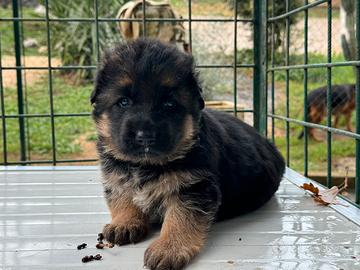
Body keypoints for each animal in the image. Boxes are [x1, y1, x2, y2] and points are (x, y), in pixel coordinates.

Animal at [91, 38, 286, 270]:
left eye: (169, 104)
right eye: (123, 102)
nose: (145, 136)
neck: (147, 165)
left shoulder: (193, 188)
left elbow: (180, 218)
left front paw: (169, 248)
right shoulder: (117, 176)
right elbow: (122, 196)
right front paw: (124, 223)